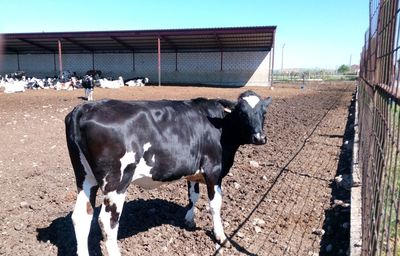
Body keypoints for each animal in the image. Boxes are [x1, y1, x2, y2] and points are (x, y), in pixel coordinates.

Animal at [65, 90, 272, 256]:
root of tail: (84, 108)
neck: (220, 126)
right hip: (116, 182)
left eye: (264, 112)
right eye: (242, 113)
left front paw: (189, 220)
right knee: (107, 221)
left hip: (85, 178)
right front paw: (221, 237)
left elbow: (193, 196)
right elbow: (215, 205)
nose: (260, 138)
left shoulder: (193, 171)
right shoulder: (214, 171)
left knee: (81, 216)